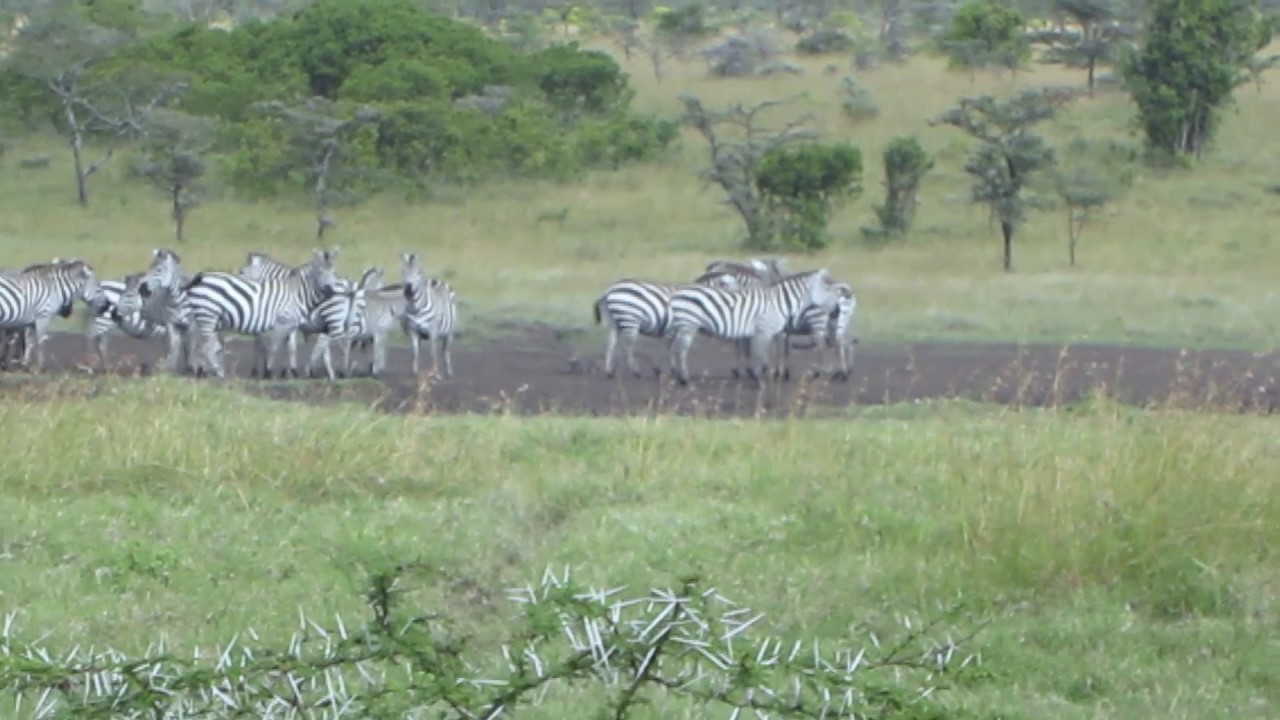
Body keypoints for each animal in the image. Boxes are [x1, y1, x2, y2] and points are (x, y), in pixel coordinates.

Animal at [184, 248, 341, 379]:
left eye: (334, 272)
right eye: (319, 272)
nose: (330, 291)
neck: (297, 292)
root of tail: (200, 278)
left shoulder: (285, 325)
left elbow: (280, 347)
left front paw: (281, 371)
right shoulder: (280, 324)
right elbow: (272, 347)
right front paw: (269, 372)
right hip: (207, 315)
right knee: (206, 346)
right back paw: (215, 373)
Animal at [592, 273, 739, 379]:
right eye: (728, 285)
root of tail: (609, 290)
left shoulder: (673, 329)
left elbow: (670, 347)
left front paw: (668, 369)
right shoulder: (676, 327)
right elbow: (670, 347)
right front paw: (665, 369)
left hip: (613, 322)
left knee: (611, 344)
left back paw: (609, 372)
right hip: (630, 318)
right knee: (628, 346)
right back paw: (636, 371)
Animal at [667, 268, 841, 387]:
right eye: (827, 289)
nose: (837, 311)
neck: (779, 303)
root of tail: (677, 293)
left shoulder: (763, 333)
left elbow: (756, 353)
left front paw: (758, 375)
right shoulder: (764, 331)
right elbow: (759, 354)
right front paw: (758, 379)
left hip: (685, 325)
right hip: (689, 324)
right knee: (681, 350)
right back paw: (685, 380)